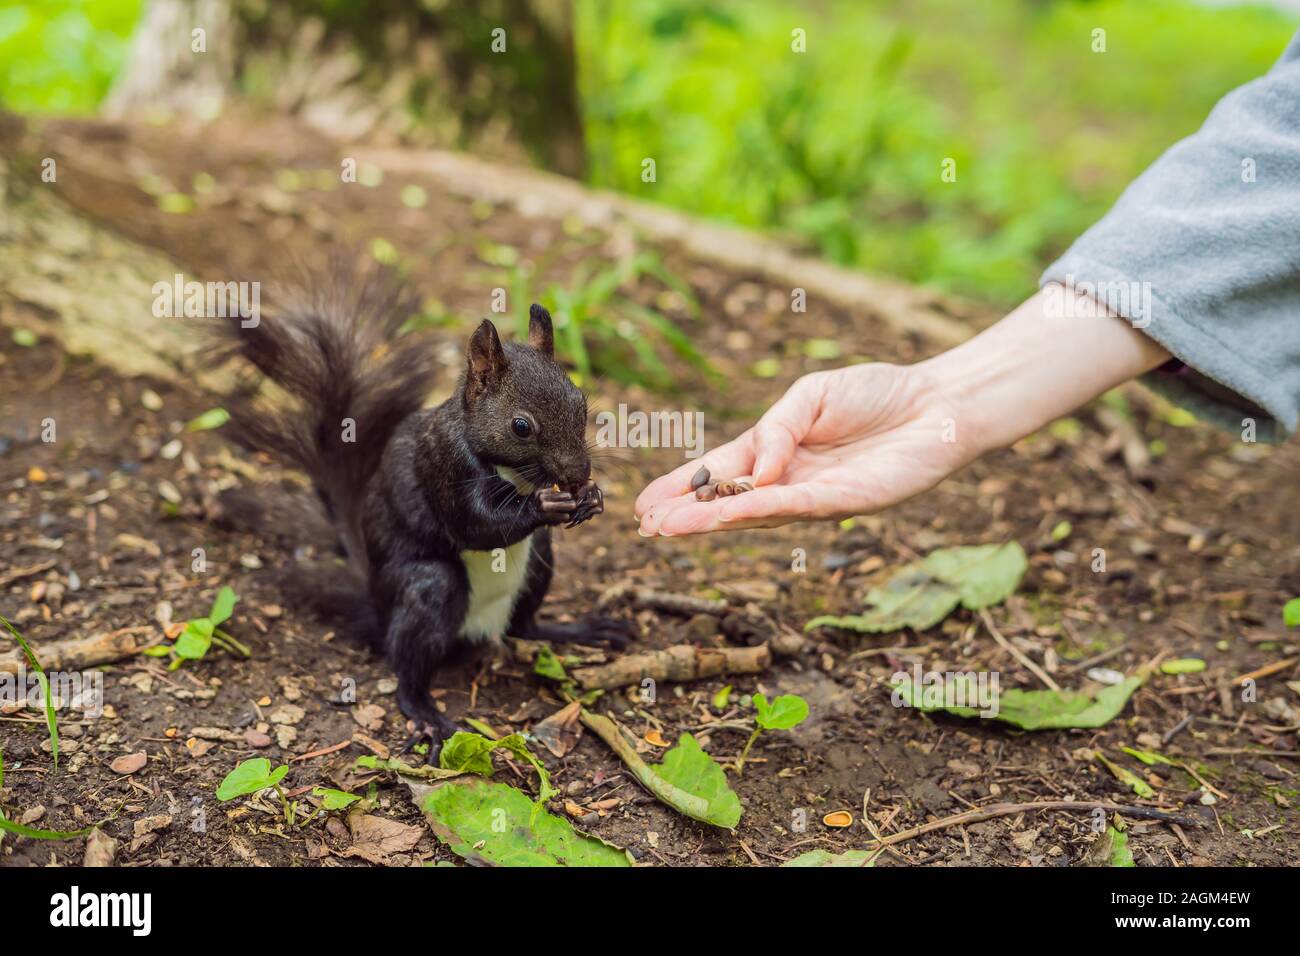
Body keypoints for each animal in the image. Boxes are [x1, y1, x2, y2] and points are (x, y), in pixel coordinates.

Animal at [217, 268, 633, 757]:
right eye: (521, 426)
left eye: (581, 403)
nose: (577, 473)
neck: (512, 472)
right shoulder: (443, 463)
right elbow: (475, 525)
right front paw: (547, 504)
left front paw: (591, 497)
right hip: (431, 589)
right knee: (409, 670)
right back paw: (427, 715)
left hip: (540, 563)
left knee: (524, 628)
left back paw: (580, 630)